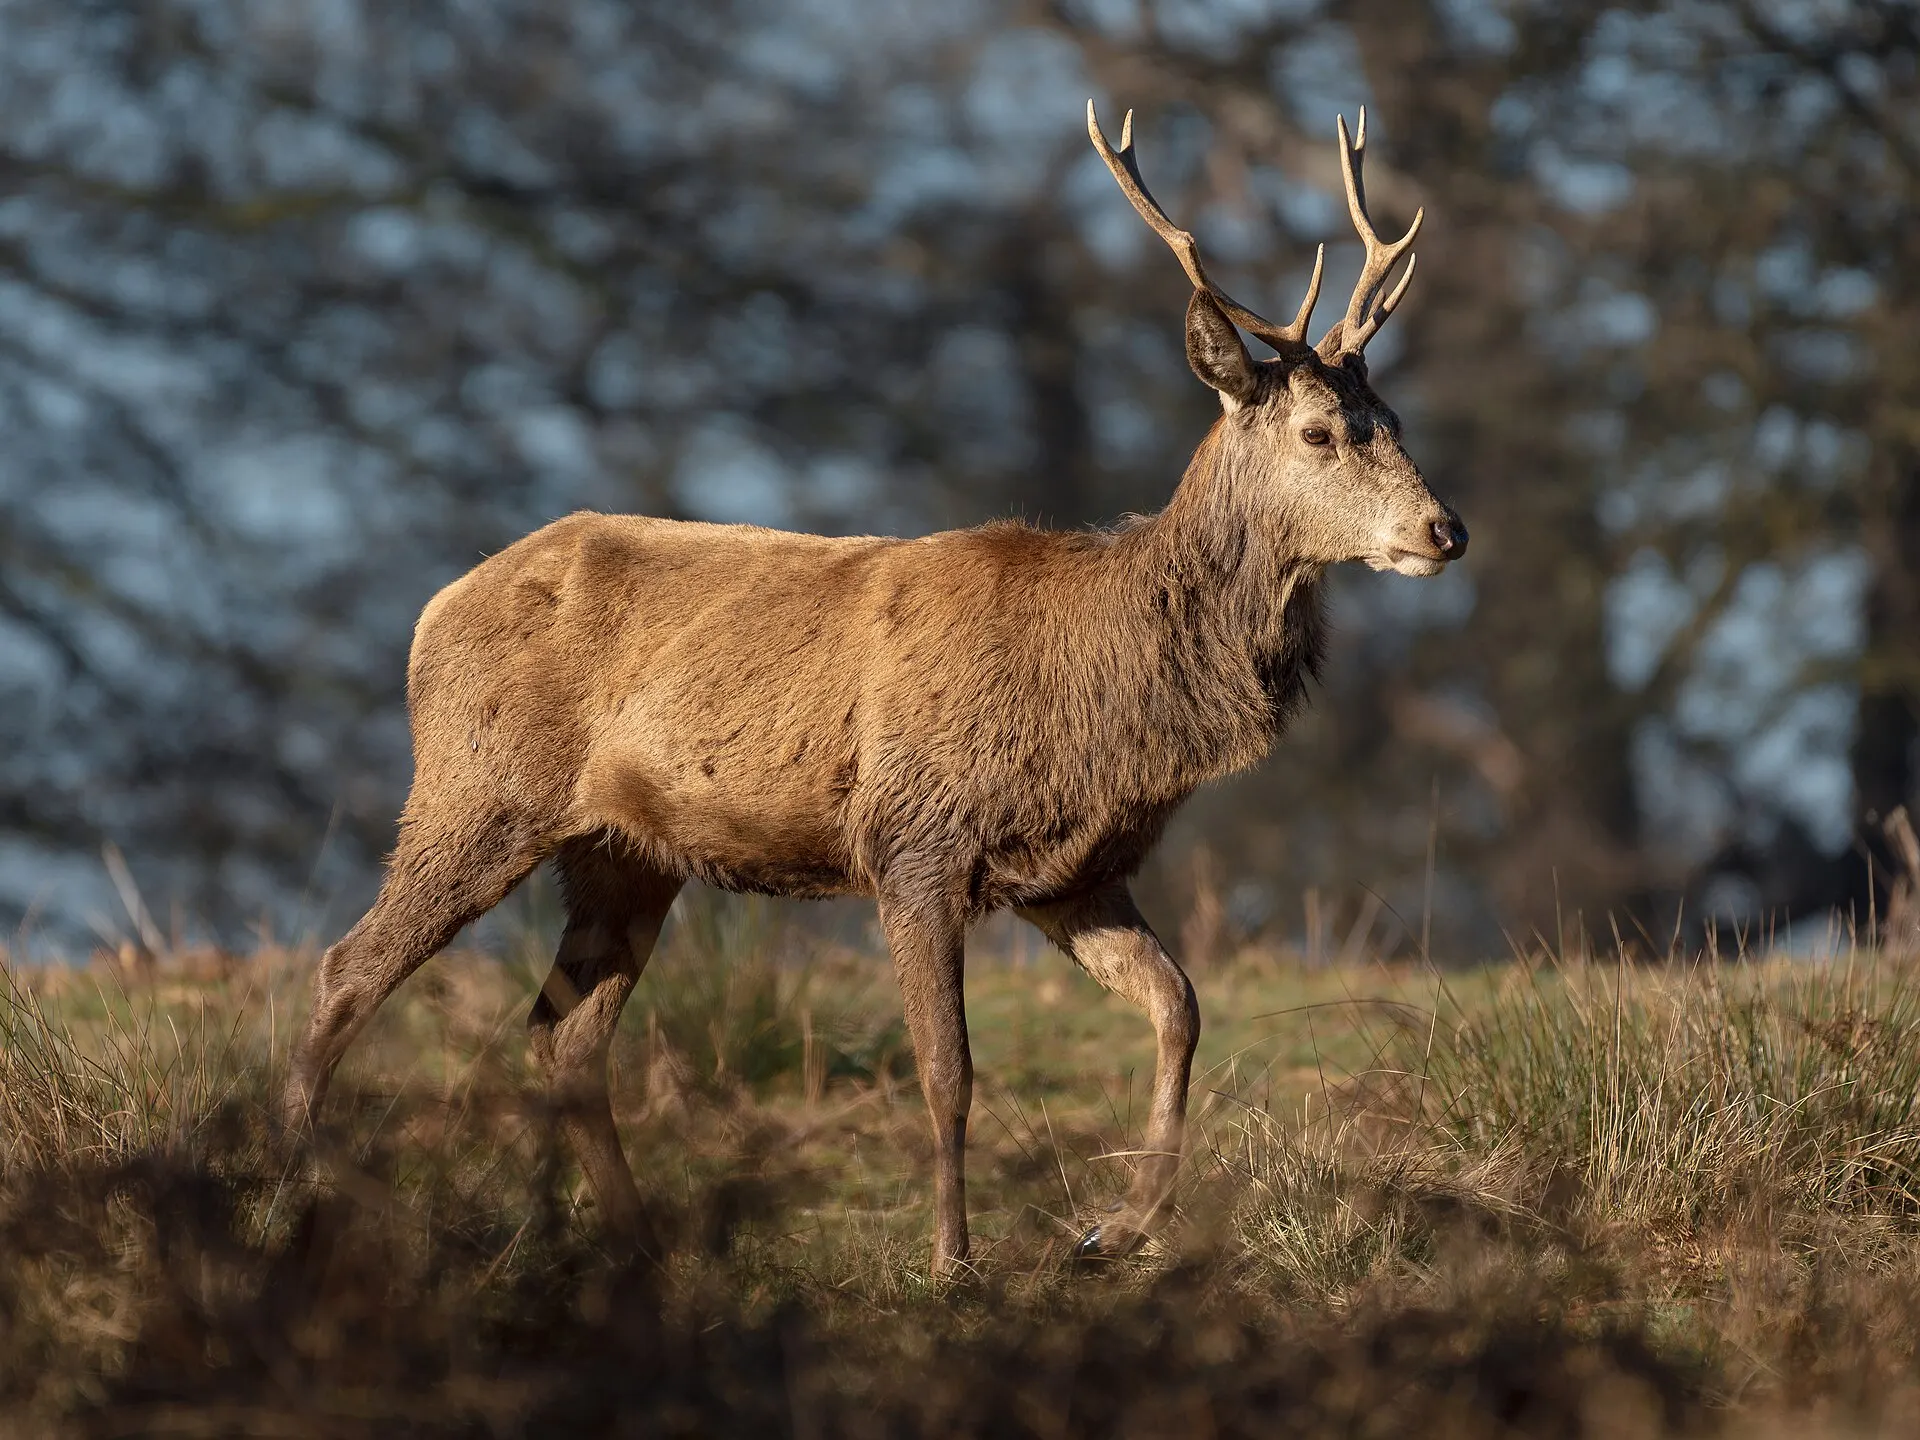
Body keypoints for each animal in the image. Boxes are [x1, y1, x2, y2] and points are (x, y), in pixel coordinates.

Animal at [284, 102, 1465, 1278]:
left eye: (1399, 418)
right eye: (1319, 430)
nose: (1444, 530)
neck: (1104, 693)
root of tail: (432, 613)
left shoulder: (1073, 873)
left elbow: (1180, 1006)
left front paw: (1115, 1229)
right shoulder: (916, 841)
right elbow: (950, 1071)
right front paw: (952, 1261)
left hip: (623, 850)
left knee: (563, 1034)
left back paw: (642, 1247)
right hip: (478, 789)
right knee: (346, 971)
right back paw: (299, 1200)